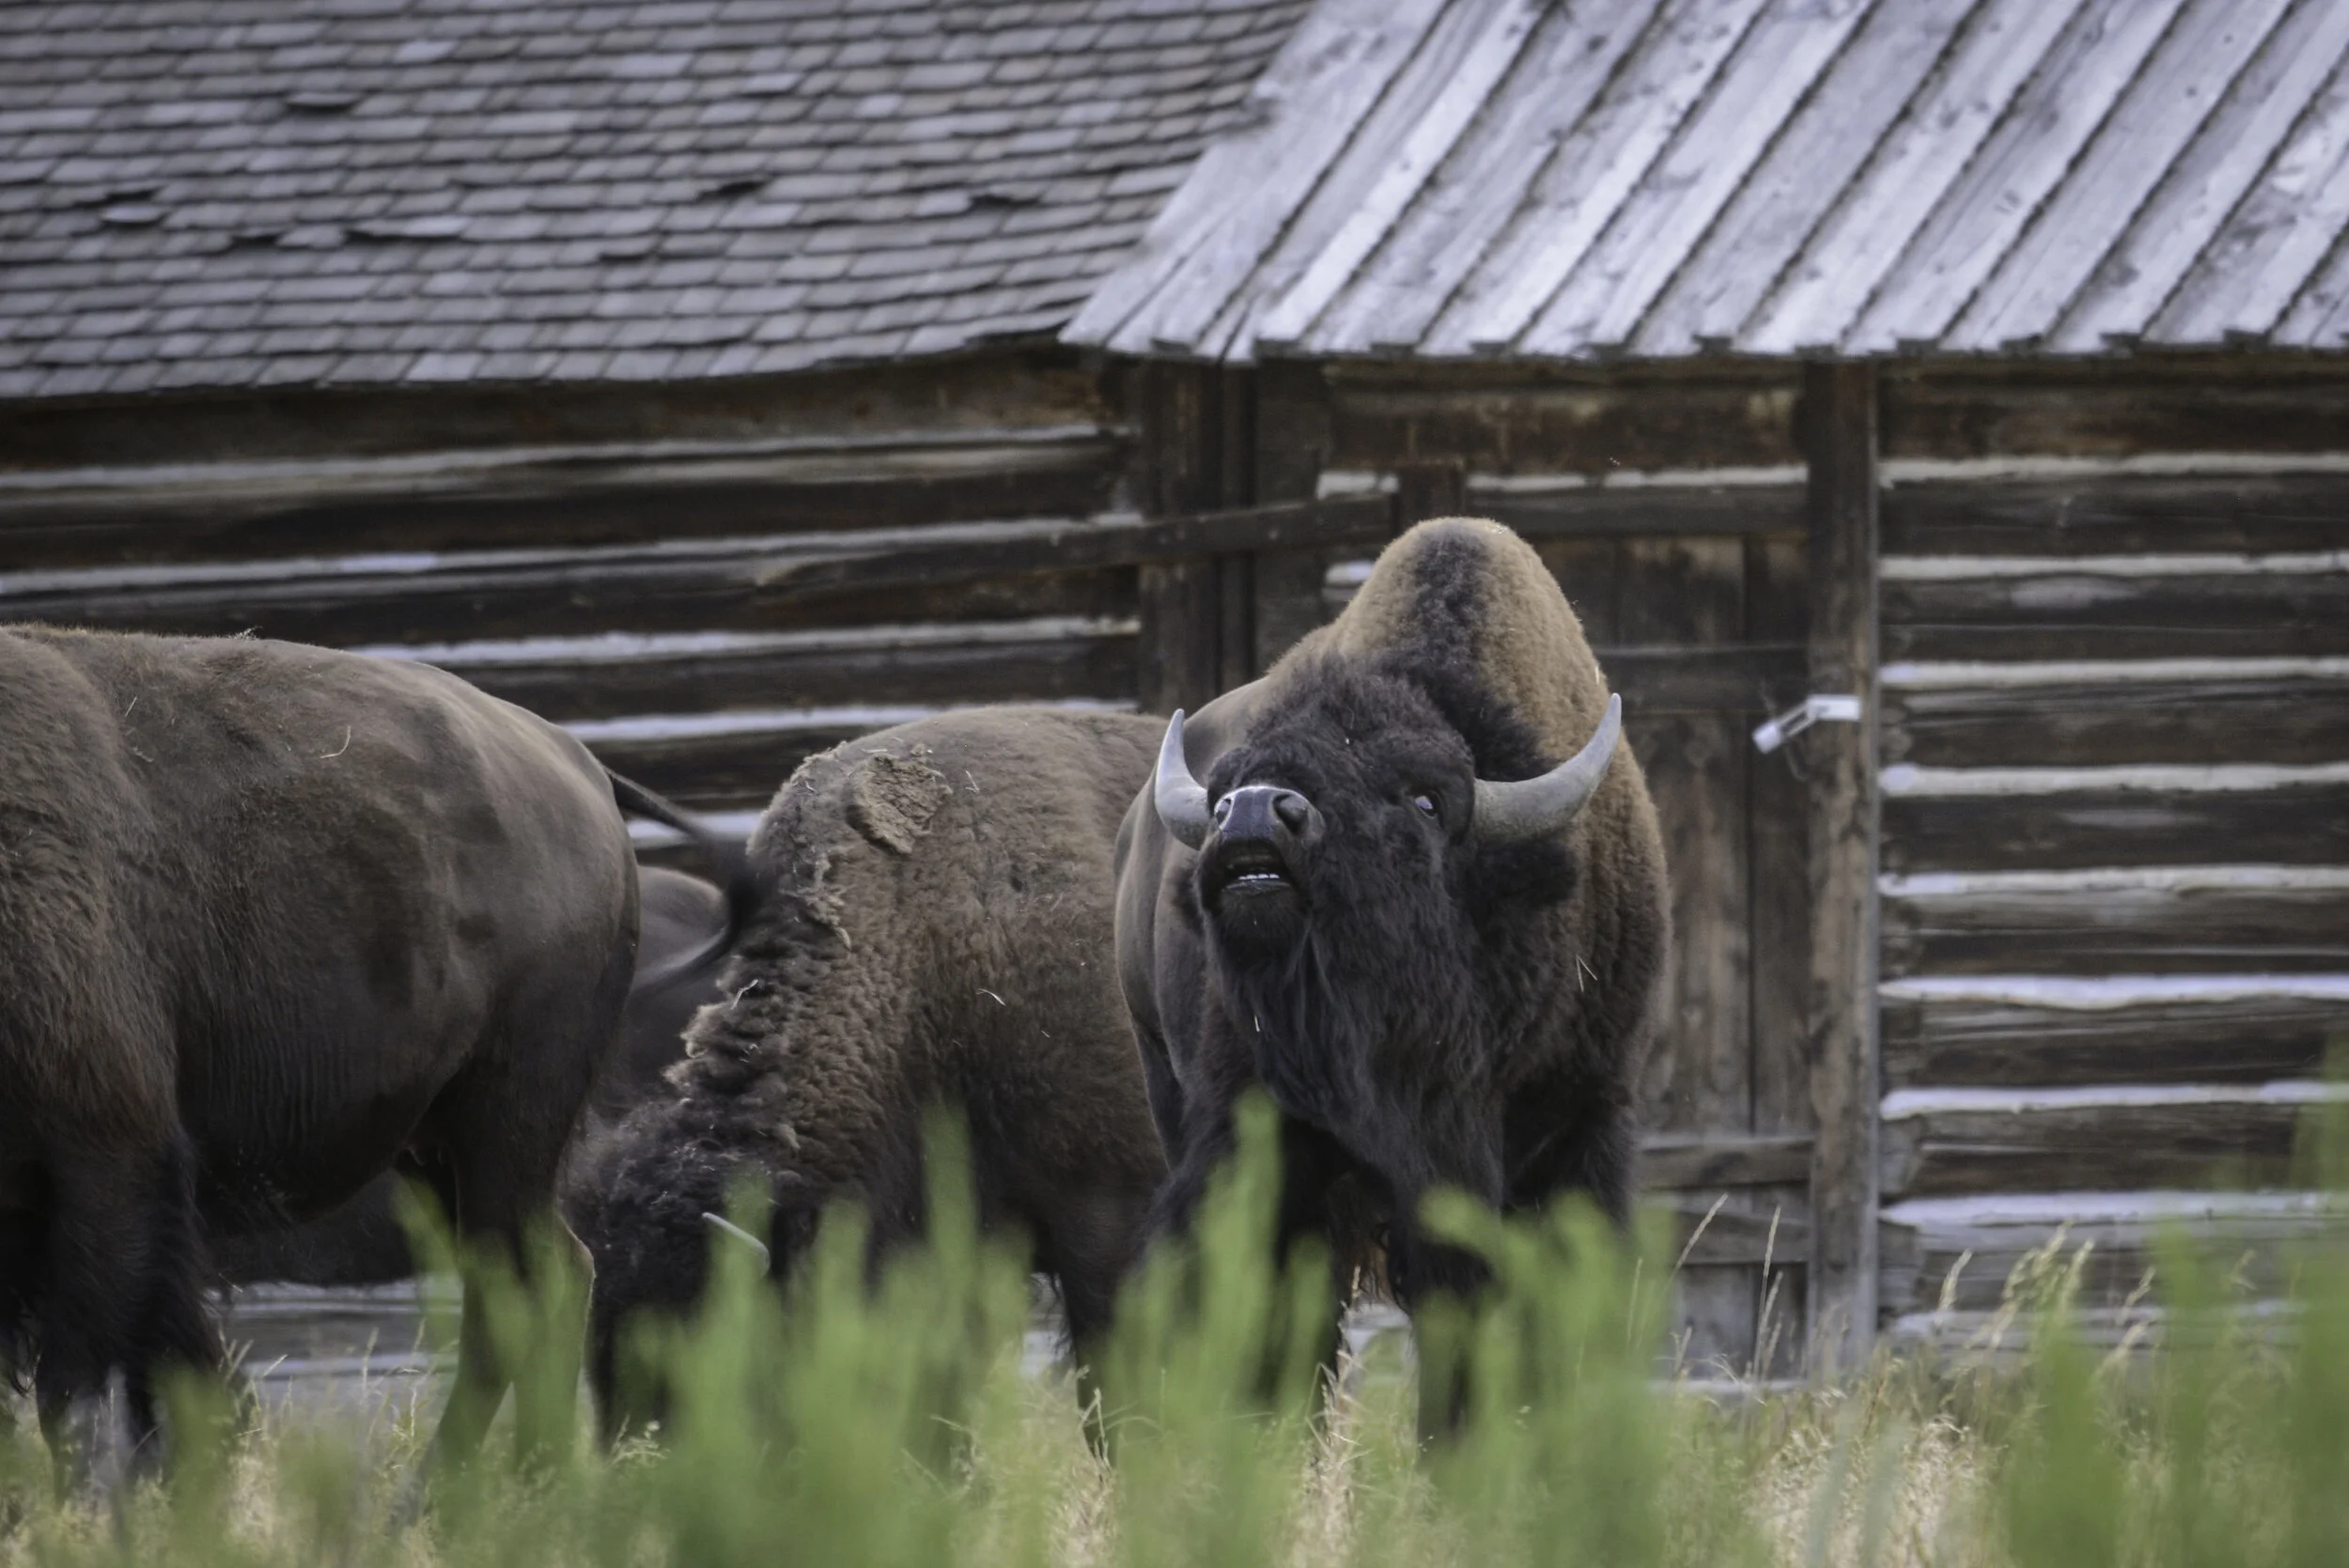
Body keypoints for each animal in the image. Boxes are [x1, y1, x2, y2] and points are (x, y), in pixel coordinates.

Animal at [0, 627, 746, 1466]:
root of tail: (574, 761)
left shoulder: (108, 1159)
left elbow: (93, 1390)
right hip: (432, 1146)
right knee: (544, 1279)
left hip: (508, 1122)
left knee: (524, 1285)